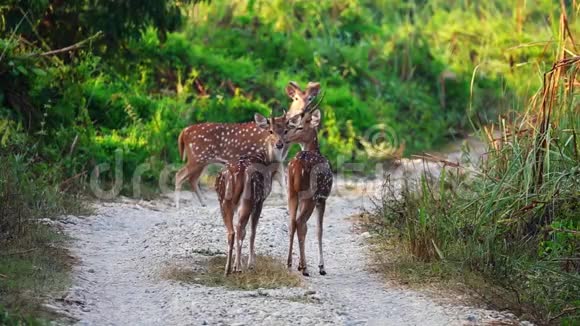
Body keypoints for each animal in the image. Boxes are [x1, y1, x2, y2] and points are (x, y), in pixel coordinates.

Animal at [177, 81, 322, 206]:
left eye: (310, 98)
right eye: (296, 98)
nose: (303, 110)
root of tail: (184, 131)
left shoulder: (277, 160)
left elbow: (282, 182)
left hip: (201, 161)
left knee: (192, 179)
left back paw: (203, 203)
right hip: (197, 157)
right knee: (180, 175)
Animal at [215, 112, 292, 276]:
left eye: (285, 130)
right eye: (270, 131)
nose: (279, 144)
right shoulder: (261, 199)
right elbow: (253, 231)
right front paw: (251, 263)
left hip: (223, 200)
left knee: (232, 231)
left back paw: (228, 268)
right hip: (249, 197)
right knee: (240, 229)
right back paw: (238, 267)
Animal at [286, 109, 334, 276]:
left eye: (299, 127)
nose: (284, 138)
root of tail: (296, 165)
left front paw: (299, 264)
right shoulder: (322, 198)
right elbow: (319, 230)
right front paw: (321, 267)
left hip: (291, 192)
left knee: (292, 222)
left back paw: (289, 263)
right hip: (310, 195)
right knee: (301, 222)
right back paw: (306, 269)